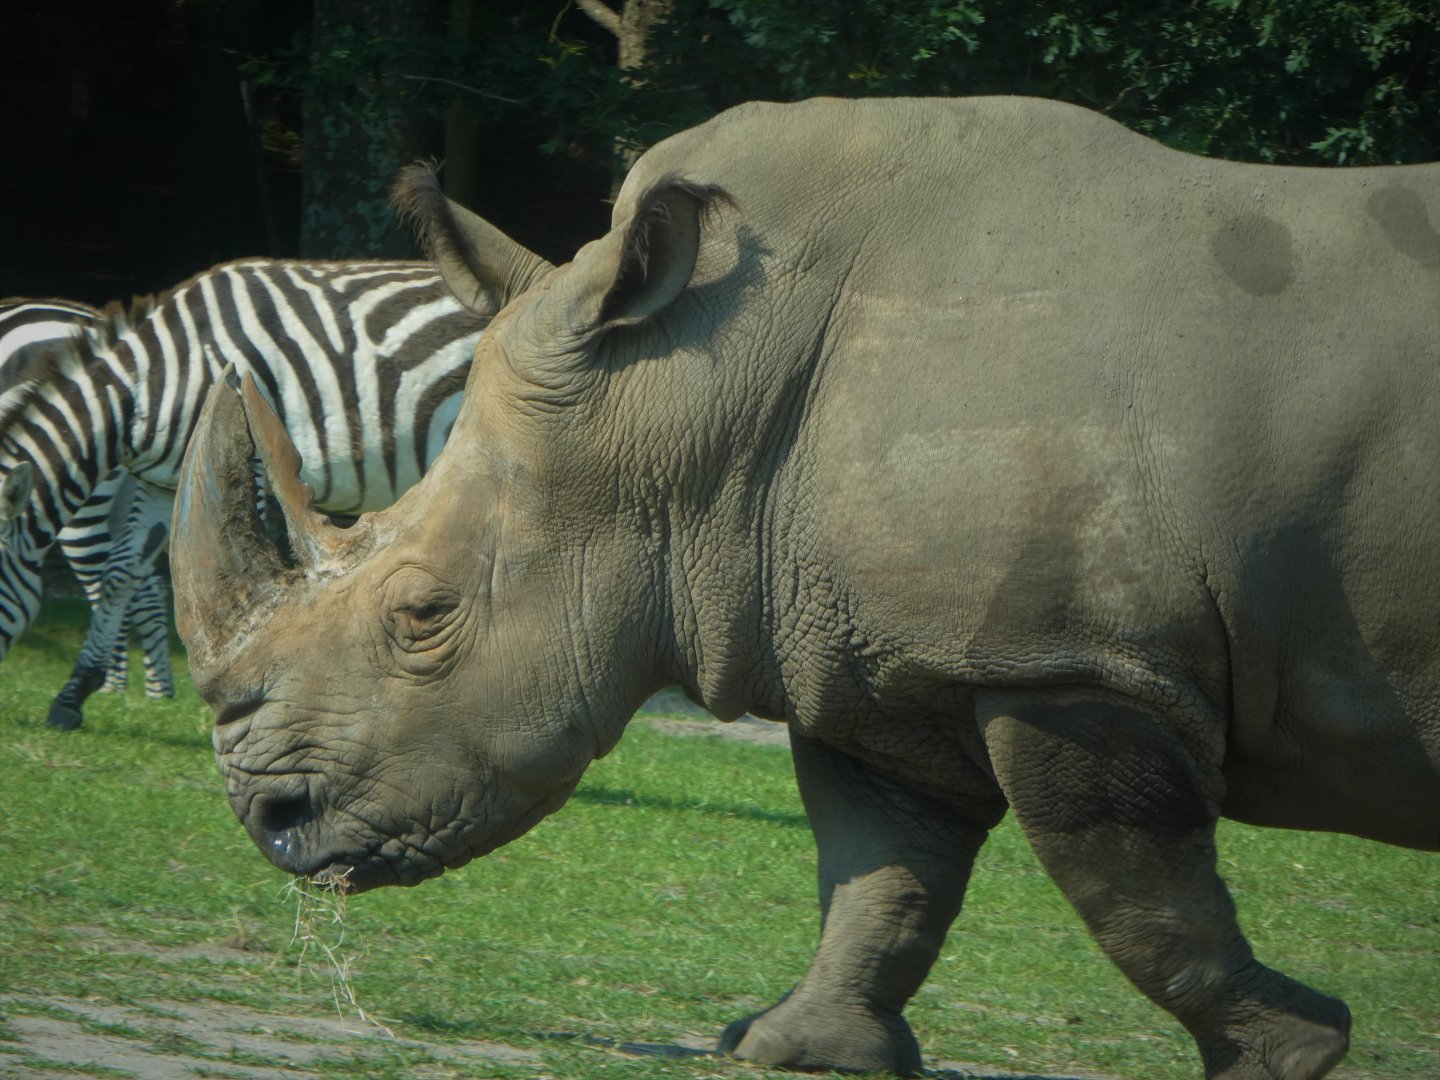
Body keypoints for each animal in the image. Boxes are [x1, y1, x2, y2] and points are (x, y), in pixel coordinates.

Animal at [171, 96, 1439, 1079]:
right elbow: (883, 869)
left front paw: (1292, 1050)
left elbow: (1133, 885)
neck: (689, 390)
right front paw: (798, 1045)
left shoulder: (1074, 658)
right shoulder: (885, 654)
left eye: (423, 616)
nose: (269, 821)